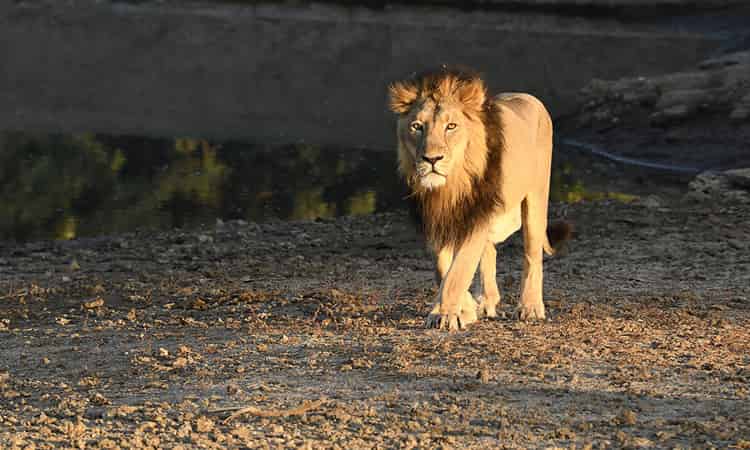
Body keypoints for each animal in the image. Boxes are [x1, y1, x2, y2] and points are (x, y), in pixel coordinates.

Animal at [390, 66, 572, 330]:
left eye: (451, 126)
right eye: (417, 126)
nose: (431, 159)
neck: (451, 185)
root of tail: (528, 97)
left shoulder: (476, 215)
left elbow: (459, 270)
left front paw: (444, 314)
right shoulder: (437, 219)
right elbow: (442, 268)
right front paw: (464, 308)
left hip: (535, 199)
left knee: (532, 254)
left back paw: (530, 307)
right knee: (490, 251)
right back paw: (486, 302)